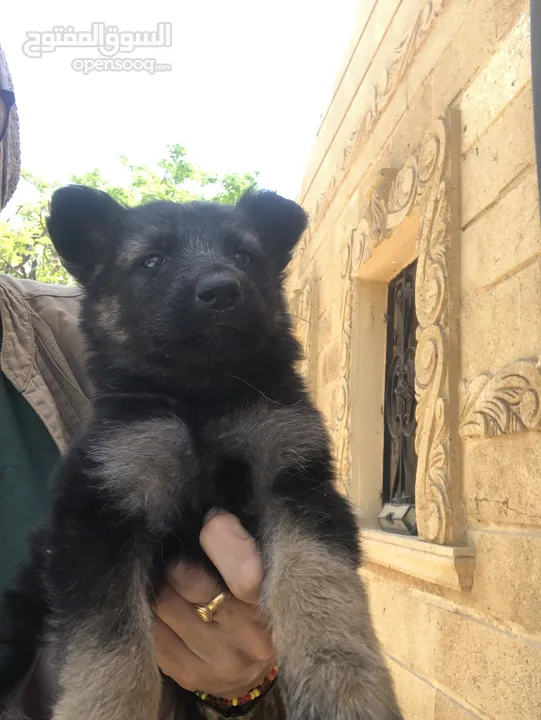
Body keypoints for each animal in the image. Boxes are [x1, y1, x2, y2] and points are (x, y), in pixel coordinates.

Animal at [0, 187, 400, 720]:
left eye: (244, 256)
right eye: (152, 260)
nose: (221, 291)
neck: (201, 396)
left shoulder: (295, 484)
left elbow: (322, 592)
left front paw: (343, 690)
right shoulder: (102, 515)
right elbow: (109, 654)